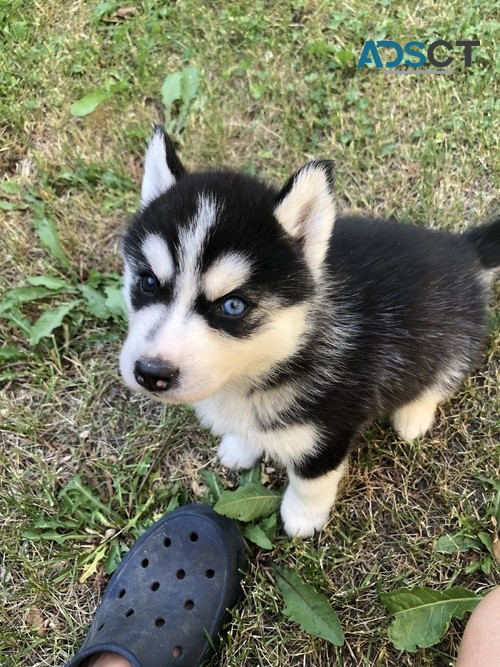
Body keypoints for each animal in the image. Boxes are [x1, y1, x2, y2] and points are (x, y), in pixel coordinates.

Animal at [119, 128, 498, 540]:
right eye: (148, 282)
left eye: (233, 305)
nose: (151, 373)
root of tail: (462, 247)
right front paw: (240, 444)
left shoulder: (329, 429)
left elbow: (312, 478)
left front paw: (302, 516)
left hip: (457, 335)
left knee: (442, 376)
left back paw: (413, 414)